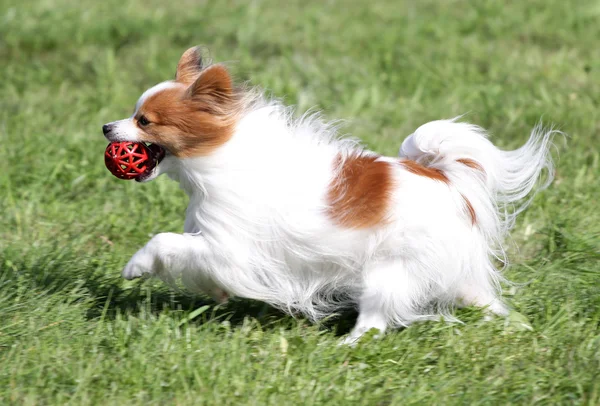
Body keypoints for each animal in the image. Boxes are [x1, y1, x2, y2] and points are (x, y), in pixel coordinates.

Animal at [102, 46, 556, 344]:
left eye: (144, 121)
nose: (106, 127)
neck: (219, 154)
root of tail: (445, 179)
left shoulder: (230, 247)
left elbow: (165, 241)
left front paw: (135, 267)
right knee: (481, 298)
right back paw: (513, 324)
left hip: (388, 270)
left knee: (375, 321)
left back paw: (348, 345)